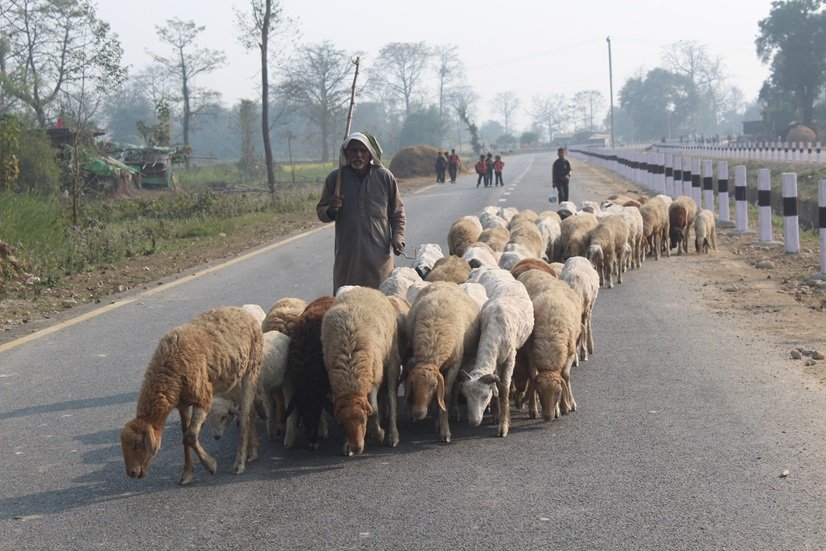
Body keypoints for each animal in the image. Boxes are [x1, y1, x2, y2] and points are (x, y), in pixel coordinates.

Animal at [118, 308, 260, 486]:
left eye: (137, 444)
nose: (131, 472)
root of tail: (242, 311)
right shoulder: (183, 404)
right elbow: (184, 437)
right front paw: (187, 473)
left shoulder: (203, 398)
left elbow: (190, 437)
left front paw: (210, 466)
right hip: (236, 378)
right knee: (251, 412)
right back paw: (252, 451)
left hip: (252, 368)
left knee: (245, 416)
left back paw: (239, 463)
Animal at [322, 286, 402, 454]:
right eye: (342, 424)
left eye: (363, 420)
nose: (357, 448)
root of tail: (366, 288)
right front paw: (347, 445)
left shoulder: (374, 377)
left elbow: (375, 410)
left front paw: (380, 433)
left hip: (391, 359)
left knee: (392, 397)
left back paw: (393, 436)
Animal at [402, 282, 480, 442]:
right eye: (412, 384)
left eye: (433, 386)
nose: (418, 413)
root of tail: (445, 282)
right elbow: (438, 399)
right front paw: (437, 423)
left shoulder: (454, 365)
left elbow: (444, 396)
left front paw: (445, 431)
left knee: (456, 386)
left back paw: (454, 412)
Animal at [458, 270, 536, 438]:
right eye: (466, 396)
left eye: (484, 396)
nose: (473, 422)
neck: (494, 328)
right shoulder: (494, 362)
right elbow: (496, 387)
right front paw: (495, 414)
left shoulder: (510, 358)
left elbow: (503, 389)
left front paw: (503, 425)